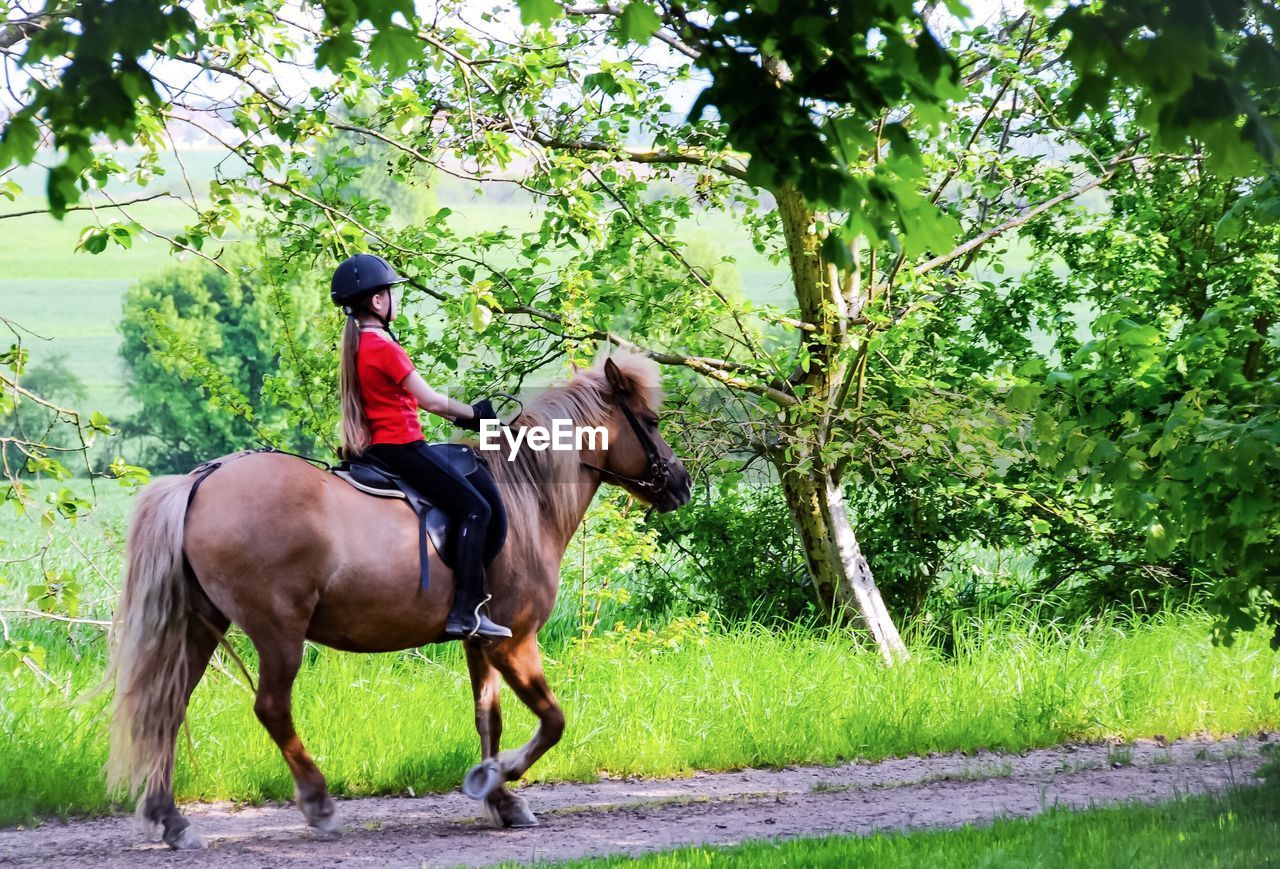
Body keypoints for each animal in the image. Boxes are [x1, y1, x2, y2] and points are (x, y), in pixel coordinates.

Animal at [104, 350, 696, 849]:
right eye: (652, 422)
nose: (682, 484)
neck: (527, 496)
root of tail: (203, 480)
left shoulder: (481, 641)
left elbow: (489, 719)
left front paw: (500, 799)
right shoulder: (515, 640)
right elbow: (552, 721)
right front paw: (497, 777)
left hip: (201, 624)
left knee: (167, 706)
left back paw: (171, 820)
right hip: (278, 630)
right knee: (271, 707)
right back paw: (318, 804)